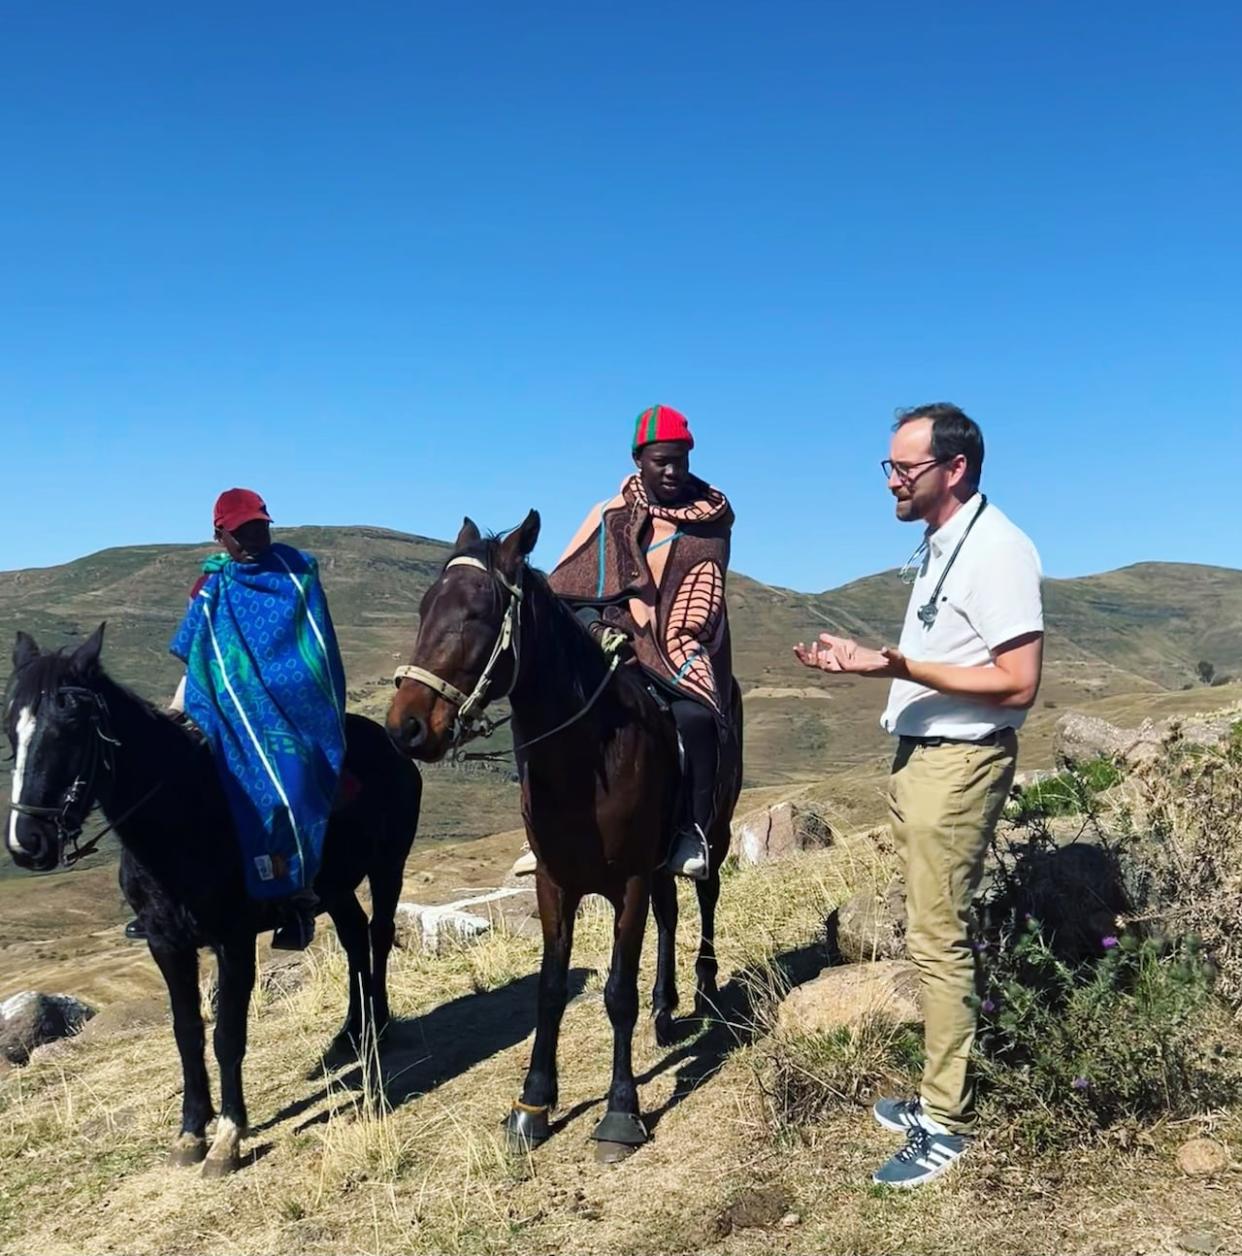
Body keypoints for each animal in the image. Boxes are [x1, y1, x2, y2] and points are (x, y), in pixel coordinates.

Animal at [2, 628, 421, 1175]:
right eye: (12, 729)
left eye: (70, 726)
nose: (25, 843)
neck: (181, 817)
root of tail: (393, 747)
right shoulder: (165, 944)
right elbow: (187, 1033)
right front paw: (189, 1132)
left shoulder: (234, 940)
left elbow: (227, 1035)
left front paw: (228, 1136)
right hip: (334, 887)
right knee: (353, 936)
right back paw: (350, 1032)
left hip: (388, 866)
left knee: (378, 934)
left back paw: (380, 1028)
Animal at [386, 514, 738, 1160]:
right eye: (425, 607)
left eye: (477, 612)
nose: (407, 727)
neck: (586, 755)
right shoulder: (556, 883)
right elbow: (550, 990)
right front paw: (532, 1105)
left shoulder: (627, 882)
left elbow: (617, 994)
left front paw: (621, 1111)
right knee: (671, 915)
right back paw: (666, 1006)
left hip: (713, 835)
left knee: (704, 899)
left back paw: (703, 990)